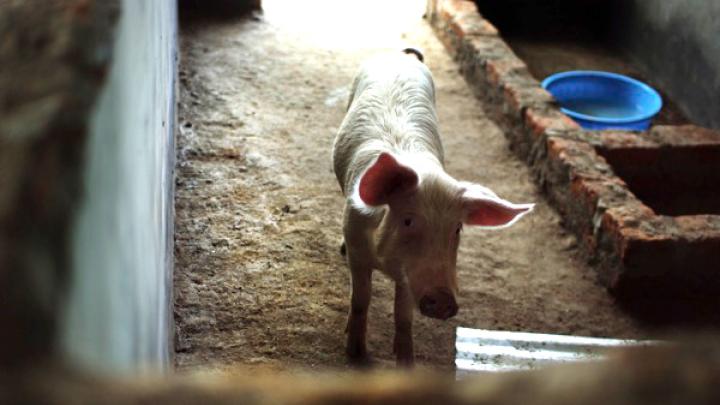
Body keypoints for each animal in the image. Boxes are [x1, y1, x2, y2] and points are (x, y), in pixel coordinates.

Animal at [334, 48, 536, 366]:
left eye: (457, 228)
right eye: (407, 220)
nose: (443, 300)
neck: (386, 263)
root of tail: (399, 54)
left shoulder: (408, 277)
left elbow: (403, 315)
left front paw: (406, 363)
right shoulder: (356, 244)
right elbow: (360, 300)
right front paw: (356, 355)